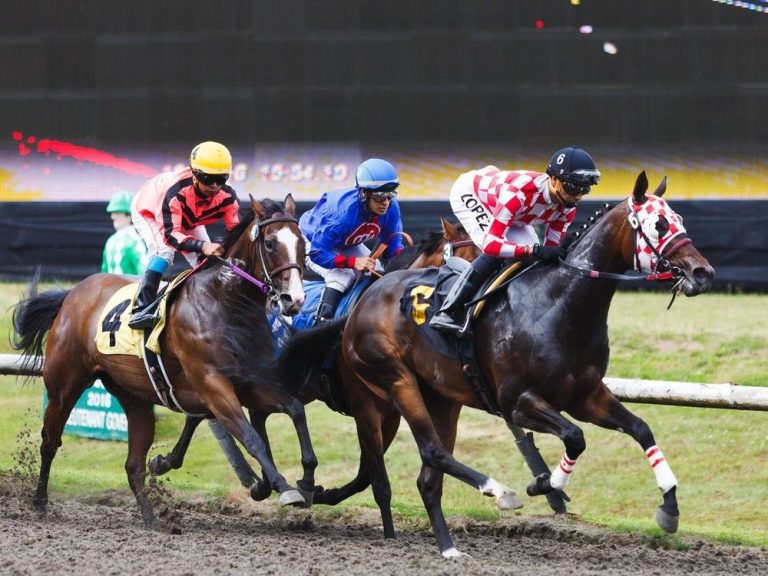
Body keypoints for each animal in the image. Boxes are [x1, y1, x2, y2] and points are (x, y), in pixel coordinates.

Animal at [9, 195, 316, 528]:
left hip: (133, 396)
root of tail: (73, 293)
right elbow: (251, 437)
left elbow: (295, 409)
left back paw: (151, 518)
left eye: (304, 244)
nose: (293, 300)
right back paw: (40, 502)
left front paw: (306, 479)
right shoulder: (213, 385)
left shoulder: (249, 381)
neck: (225, 302)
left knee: (133, 464)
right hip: (64, 384)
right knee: (50, 441)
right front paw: (284, 487)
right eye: (270, 243)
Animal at [147, 214, 480, 502]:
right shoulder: (365, 405)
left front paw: (320, 491)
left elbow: (365, 476)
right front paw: (313, 489)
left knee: (236, 415)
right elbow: (371, 473)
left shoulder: (392, 410)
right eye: (462, 261)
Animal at [280, 172, 716, 560]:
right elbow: (575, 437)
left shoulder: (587, 396)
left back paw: (448, 547)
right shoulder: (518, 401)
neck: (560, 304)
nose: (703, 272)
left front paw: (669, 507)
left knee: (428, 476)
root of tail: (365, 300)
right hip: (392, 384)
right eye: (659, 223)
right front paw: (547, 484)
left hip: (440, 398)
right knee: (428, 453)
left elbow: (641, 429)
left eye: (679, 219)